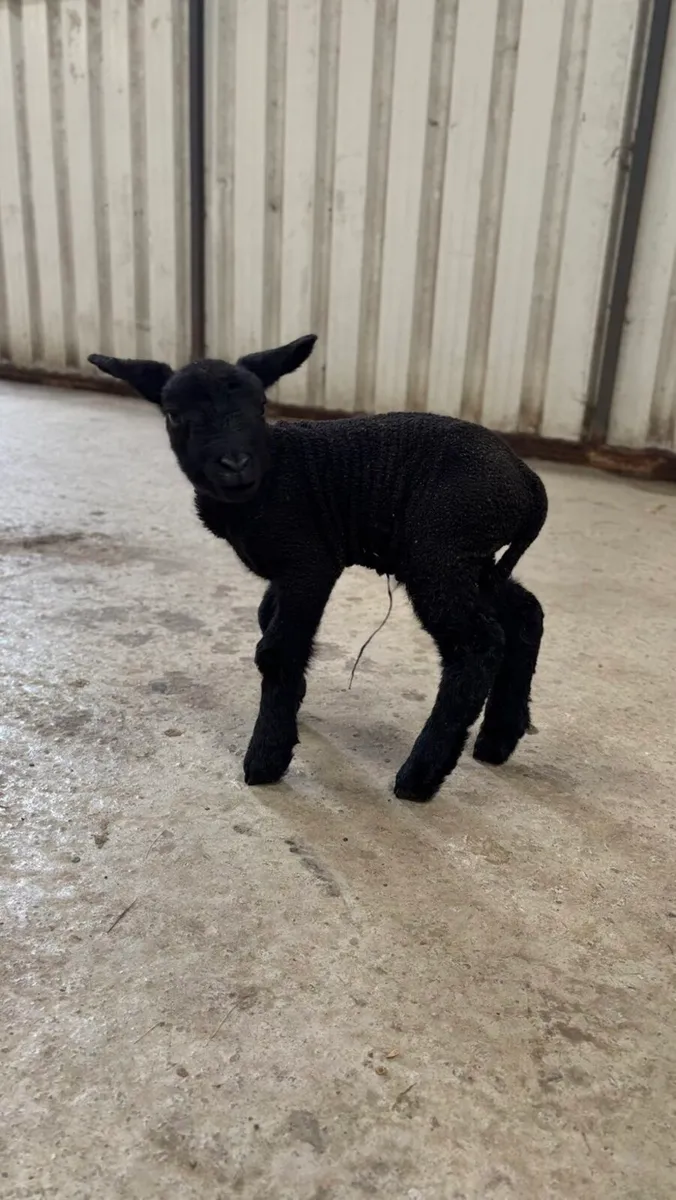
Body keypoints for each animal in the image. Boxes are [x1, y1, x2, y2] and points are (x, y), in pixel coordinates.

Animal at [89, 335, 547, 802]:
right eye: (174, 414)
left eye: (261, 406)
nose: (235, 465)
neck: (271, 475)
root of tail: (527, 480)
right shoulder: (285, 569)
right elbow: (266, 620)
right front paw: (294, 702)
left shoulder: (309, 561)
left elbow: (276, 649)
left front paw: (268, 755)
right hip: (471, 559)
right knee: (524, 613)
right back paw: (498, 738)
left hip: (441, 550)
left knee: (476, 645)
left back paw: (419, 777)